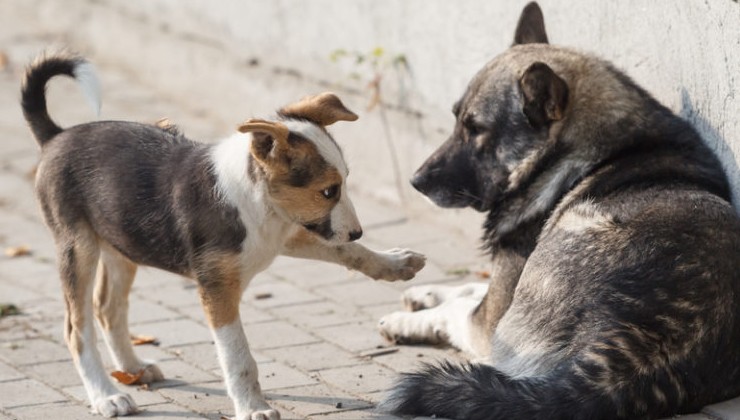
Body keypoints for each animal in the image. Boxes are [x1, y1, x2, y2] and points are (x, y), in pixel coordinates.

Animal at [378, 3, 740, 420]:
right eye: (456, 118)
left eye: (476, 129)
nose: (416, 181)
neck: (570, 153)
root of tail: (642, 355)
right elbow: (469, 286)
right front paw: (424, 292)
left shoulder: (491, 317)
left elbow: (462, 304)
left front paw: (408, 318)